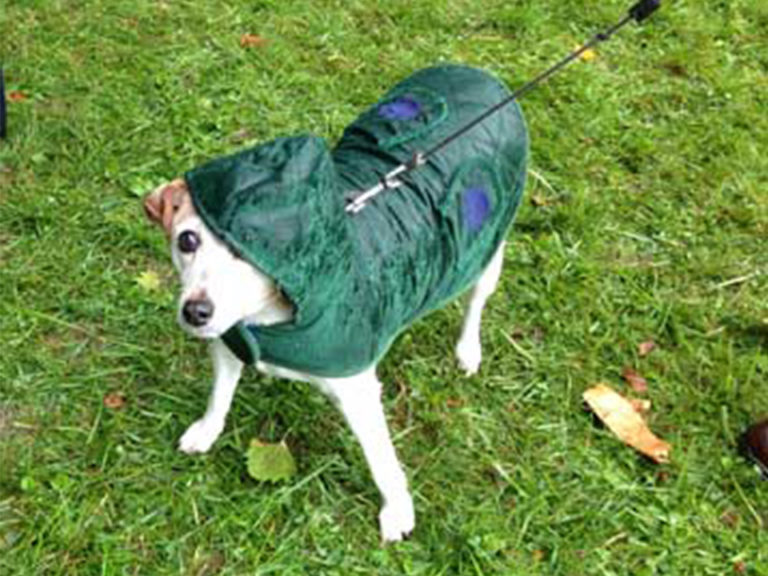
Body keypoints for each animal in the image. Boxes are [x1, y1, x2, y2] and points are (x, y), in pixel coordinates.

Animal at [144, 65, 528, 544]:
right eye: (187, 241)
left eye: (252, 254)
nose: (196, 312)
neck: (269, 320)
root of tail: (478, 73)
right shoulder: (228, 344)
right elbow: (220, 395)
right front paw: (207, 430)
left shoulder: (359, 394)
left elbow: (383, 460)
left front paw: (398, 510)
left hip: (486, 251)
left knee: (476, 302)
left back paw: (467, 349)